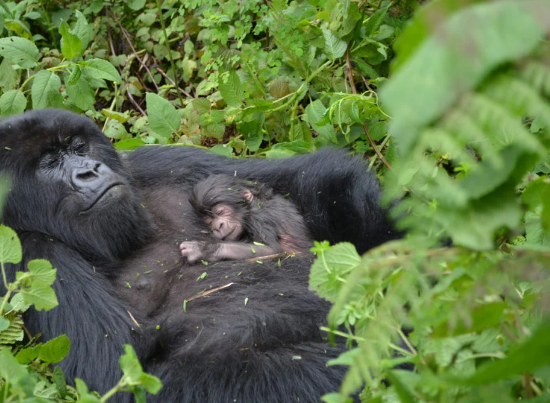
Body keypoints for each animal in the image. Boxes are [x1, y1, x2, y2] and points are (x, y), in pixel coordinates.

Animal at [180, 175, 312, 264]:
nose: (218, 226)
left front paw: (204, 249)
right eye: (209, 222)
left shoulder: (258, 219)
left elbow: (271, 251)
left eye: (220, 212)